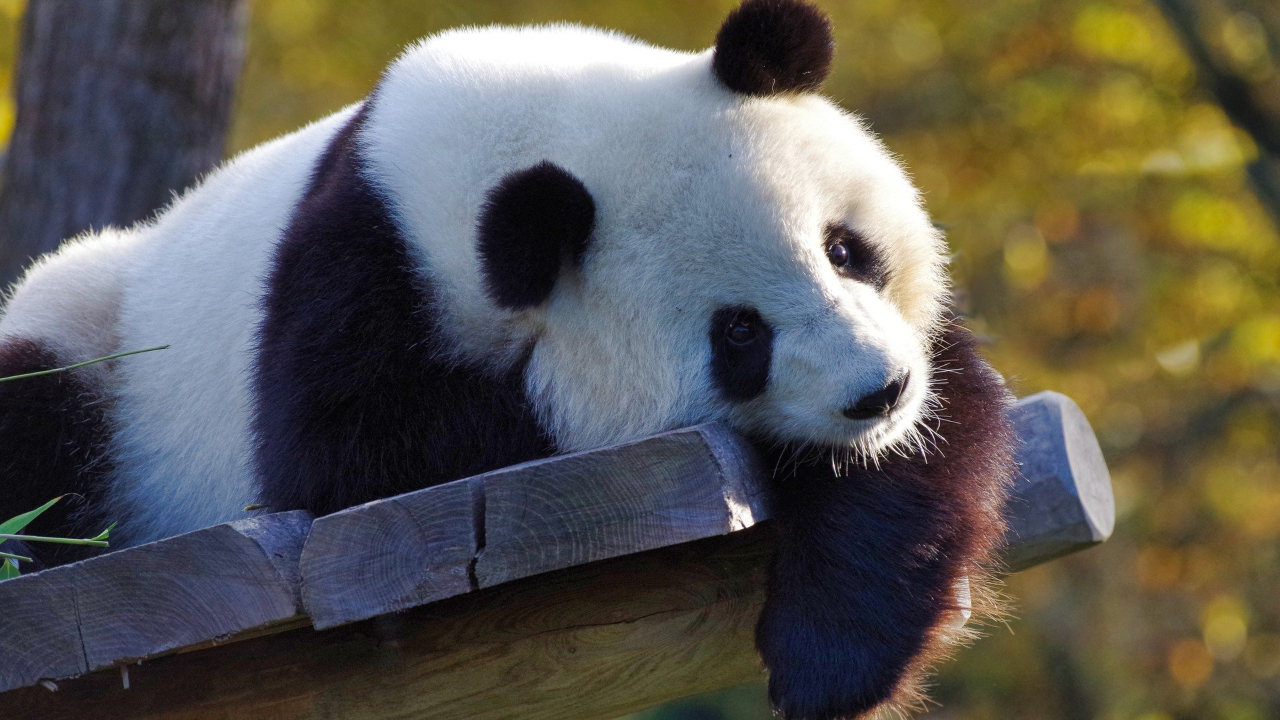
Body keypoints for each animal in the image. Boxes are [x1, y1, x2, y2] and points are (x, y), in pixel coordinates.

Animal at [0, 1, 1015, 717]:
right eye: (739, 335)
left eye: (845, 248)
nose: (878, 391)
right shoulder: (351, 286)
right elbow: (351, 464)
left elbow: (939, 428)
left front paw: (831, 655)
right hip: (95, 337)